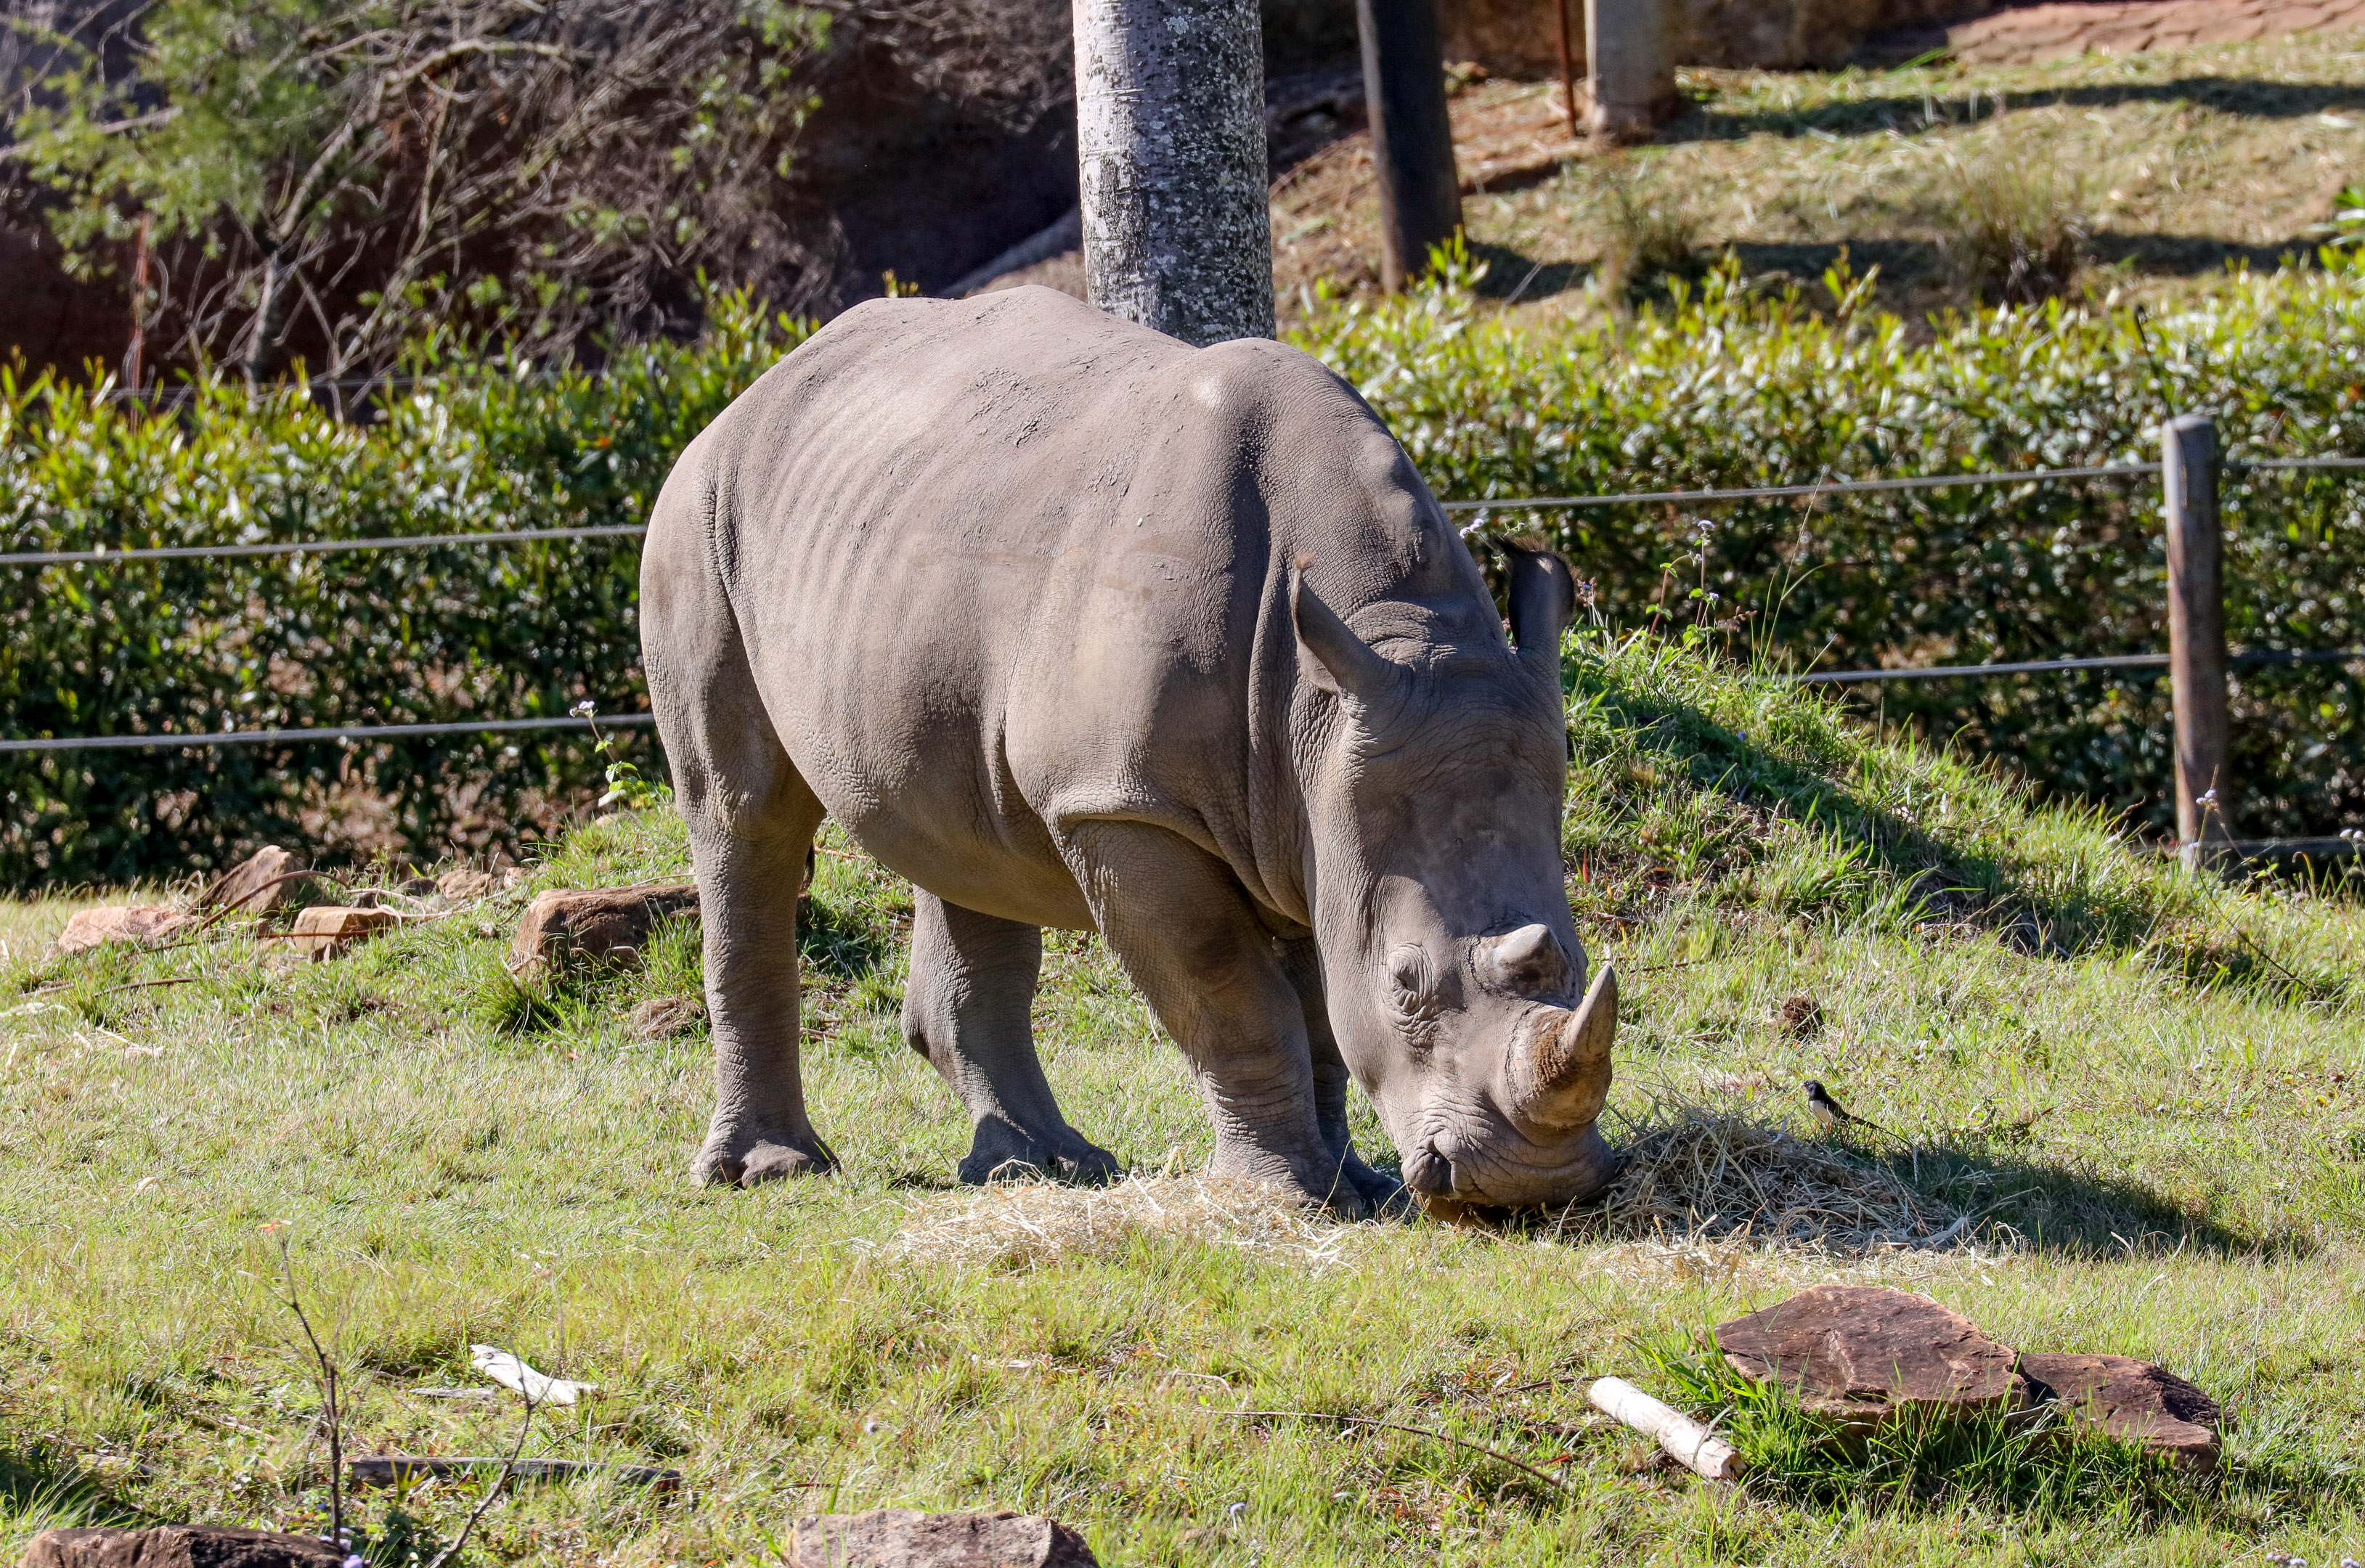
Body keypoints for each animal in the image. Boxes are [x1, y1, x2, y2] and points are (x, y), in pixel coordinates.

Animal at [639, 285, 1619, 1217]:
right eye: (1406, 984)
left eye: (1575, 964)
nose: (1530, 1185)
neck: (1381, 647)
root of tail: (744, 397)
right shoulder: (1123, 803)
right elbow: (1233, 994)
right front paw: (1285, 1197)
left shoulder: (1315, 801)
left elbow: (1317, 1012)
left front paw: (1357, 1186)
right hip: (698, 515)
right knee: (745, 819)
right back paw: (771, 1172)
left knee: (960, 840)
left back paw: (1041, 1168)